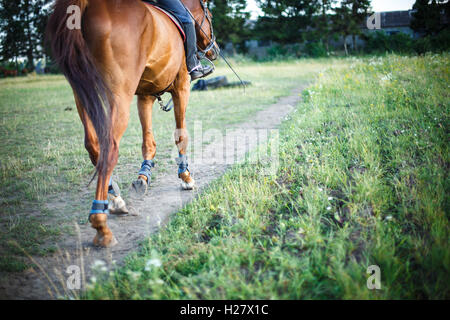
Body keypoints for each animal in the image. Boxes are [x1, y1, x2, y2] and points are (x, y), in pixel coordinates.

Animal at [46, 0, 219, 248]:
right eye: (210, 17)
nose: (215, 50)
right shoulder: (181, 87)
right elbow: (181, 135)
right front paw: (186, 177)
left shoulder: (145, 95)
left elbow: (148, 142)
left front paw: (143, 176)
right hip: (119, 96)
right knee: (109, 148)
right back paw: (101, 224)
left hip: (83, 94)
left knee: (93, 147)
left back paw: (115, 199)